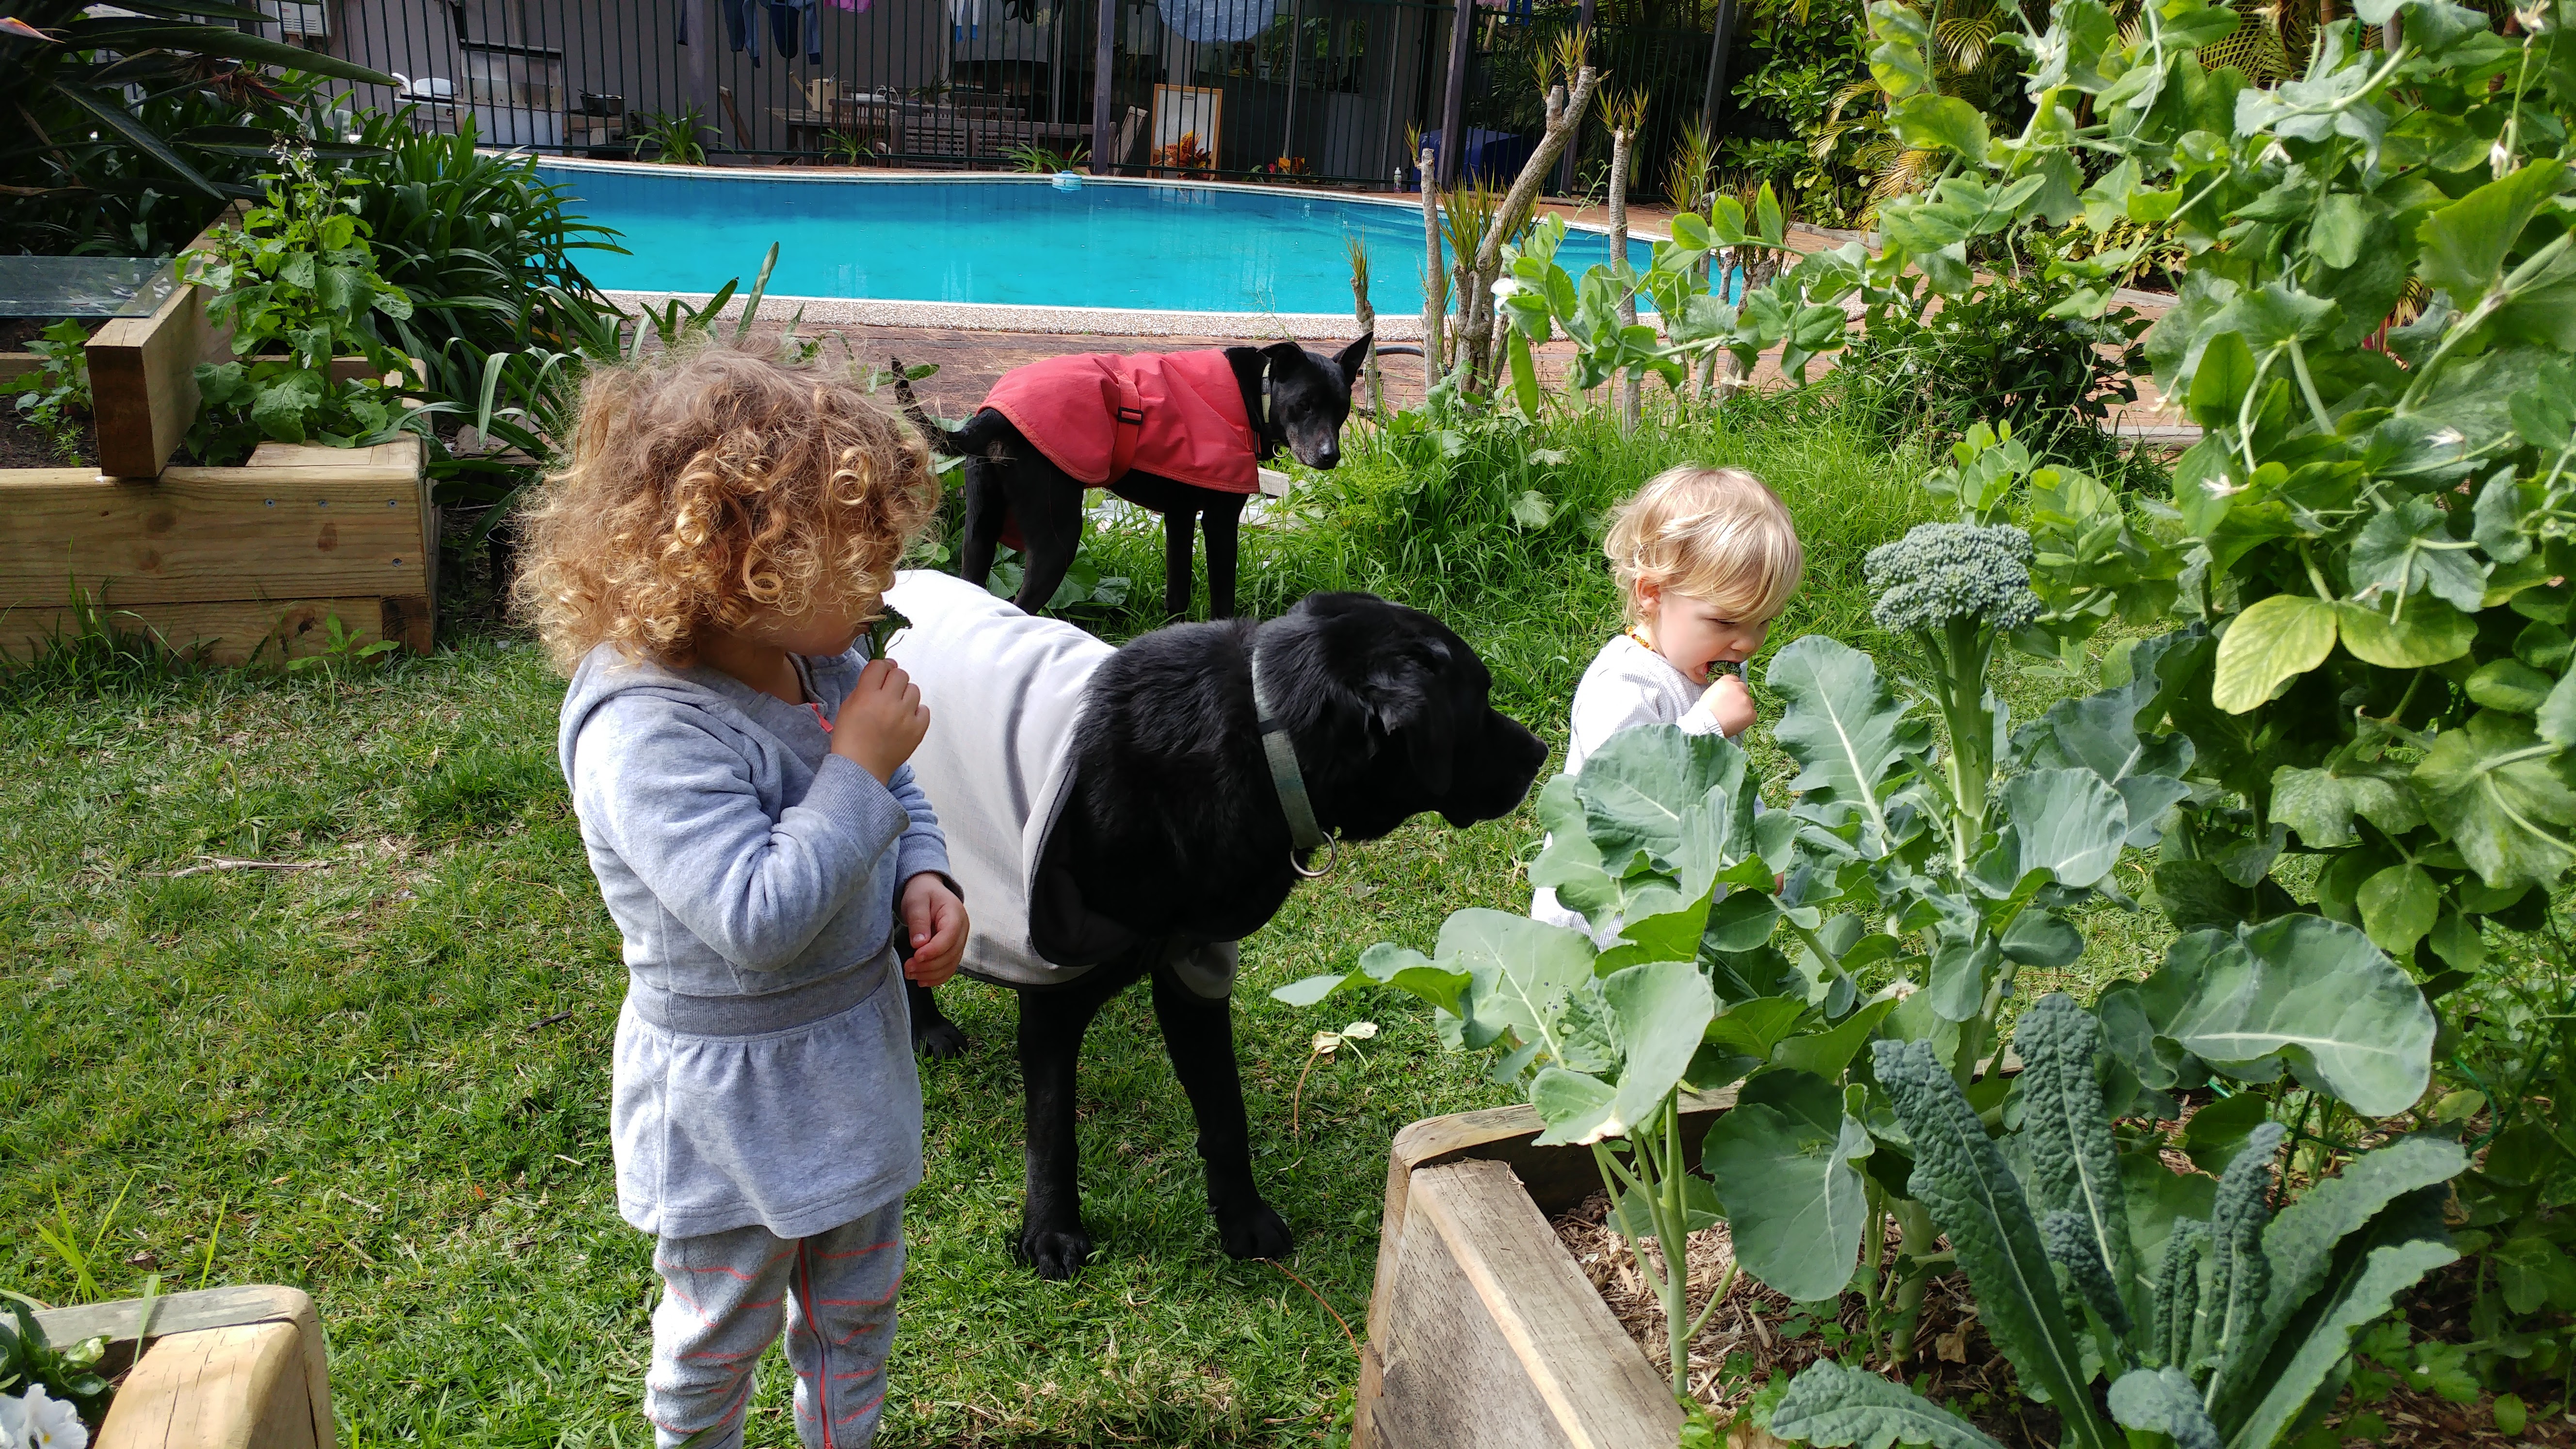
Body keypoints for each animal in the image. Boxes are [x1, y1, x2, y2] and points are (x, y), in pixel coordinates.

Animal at [891, 338, 1370, 621]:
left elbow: (1178, 593)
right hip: (1057, 541)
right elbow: (1222, 600)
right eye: (1305, 404)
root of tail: (991, 415)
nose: (1330, 457)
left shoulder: (1180, 518)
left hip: (979, 531)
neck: (1257, 390)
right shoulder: (1219, 522)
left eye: (1344, 407)